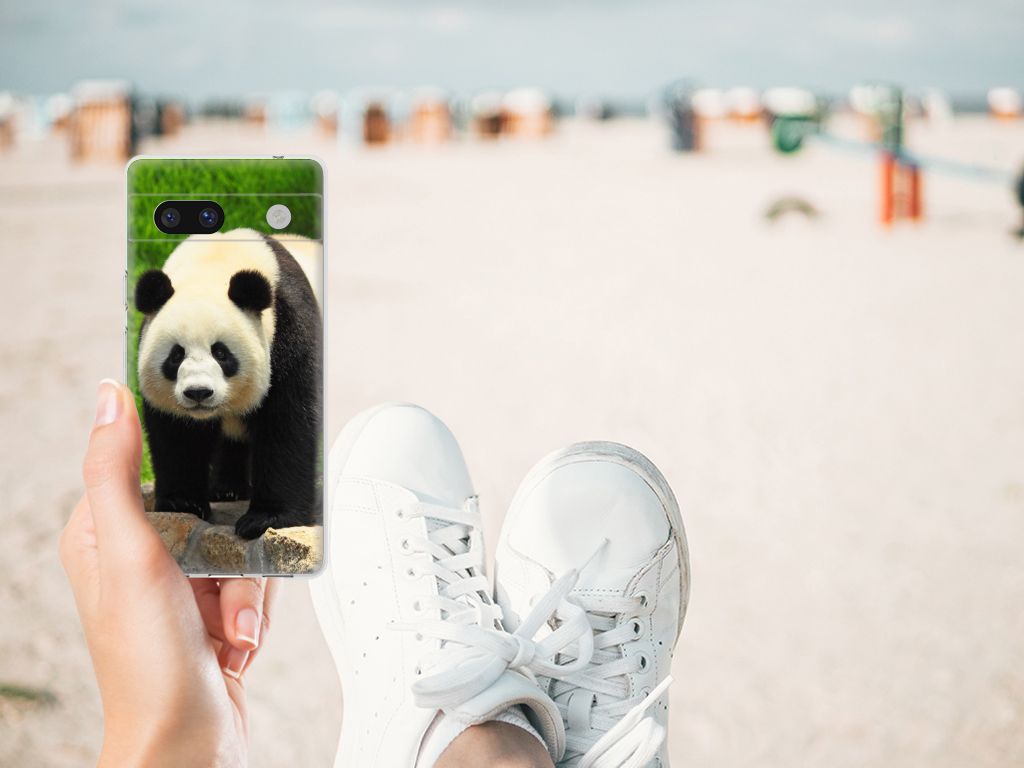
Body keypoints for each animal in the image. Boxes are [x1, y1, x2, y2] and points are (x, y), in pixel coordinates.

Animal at [134, 228, 322, 540]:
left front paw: (266, 518)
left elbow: (287, 422)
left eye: (221, 353)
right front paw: (183, 503)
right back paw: (227, 489)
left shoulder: (289, 329)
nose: (198, 393)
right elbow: (177, 434)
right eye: (176, 355)